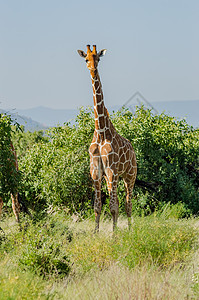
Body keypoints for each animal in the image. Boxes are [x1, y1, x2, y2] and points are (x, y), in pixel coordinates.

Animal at [77, 45, 137, 232]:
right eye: (86, 59)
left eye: (98, 58)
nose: (93, 69)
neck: (101, 131)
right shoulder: (96, 172)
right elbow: (97, 207)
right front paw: (95, 234)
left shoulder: (112, 170)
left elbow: (113, 207)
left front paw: (113, 235)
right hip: (114, 177)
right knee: (120, 201)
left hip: (129, 175)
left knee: (128, 203)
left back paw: (130, 230)